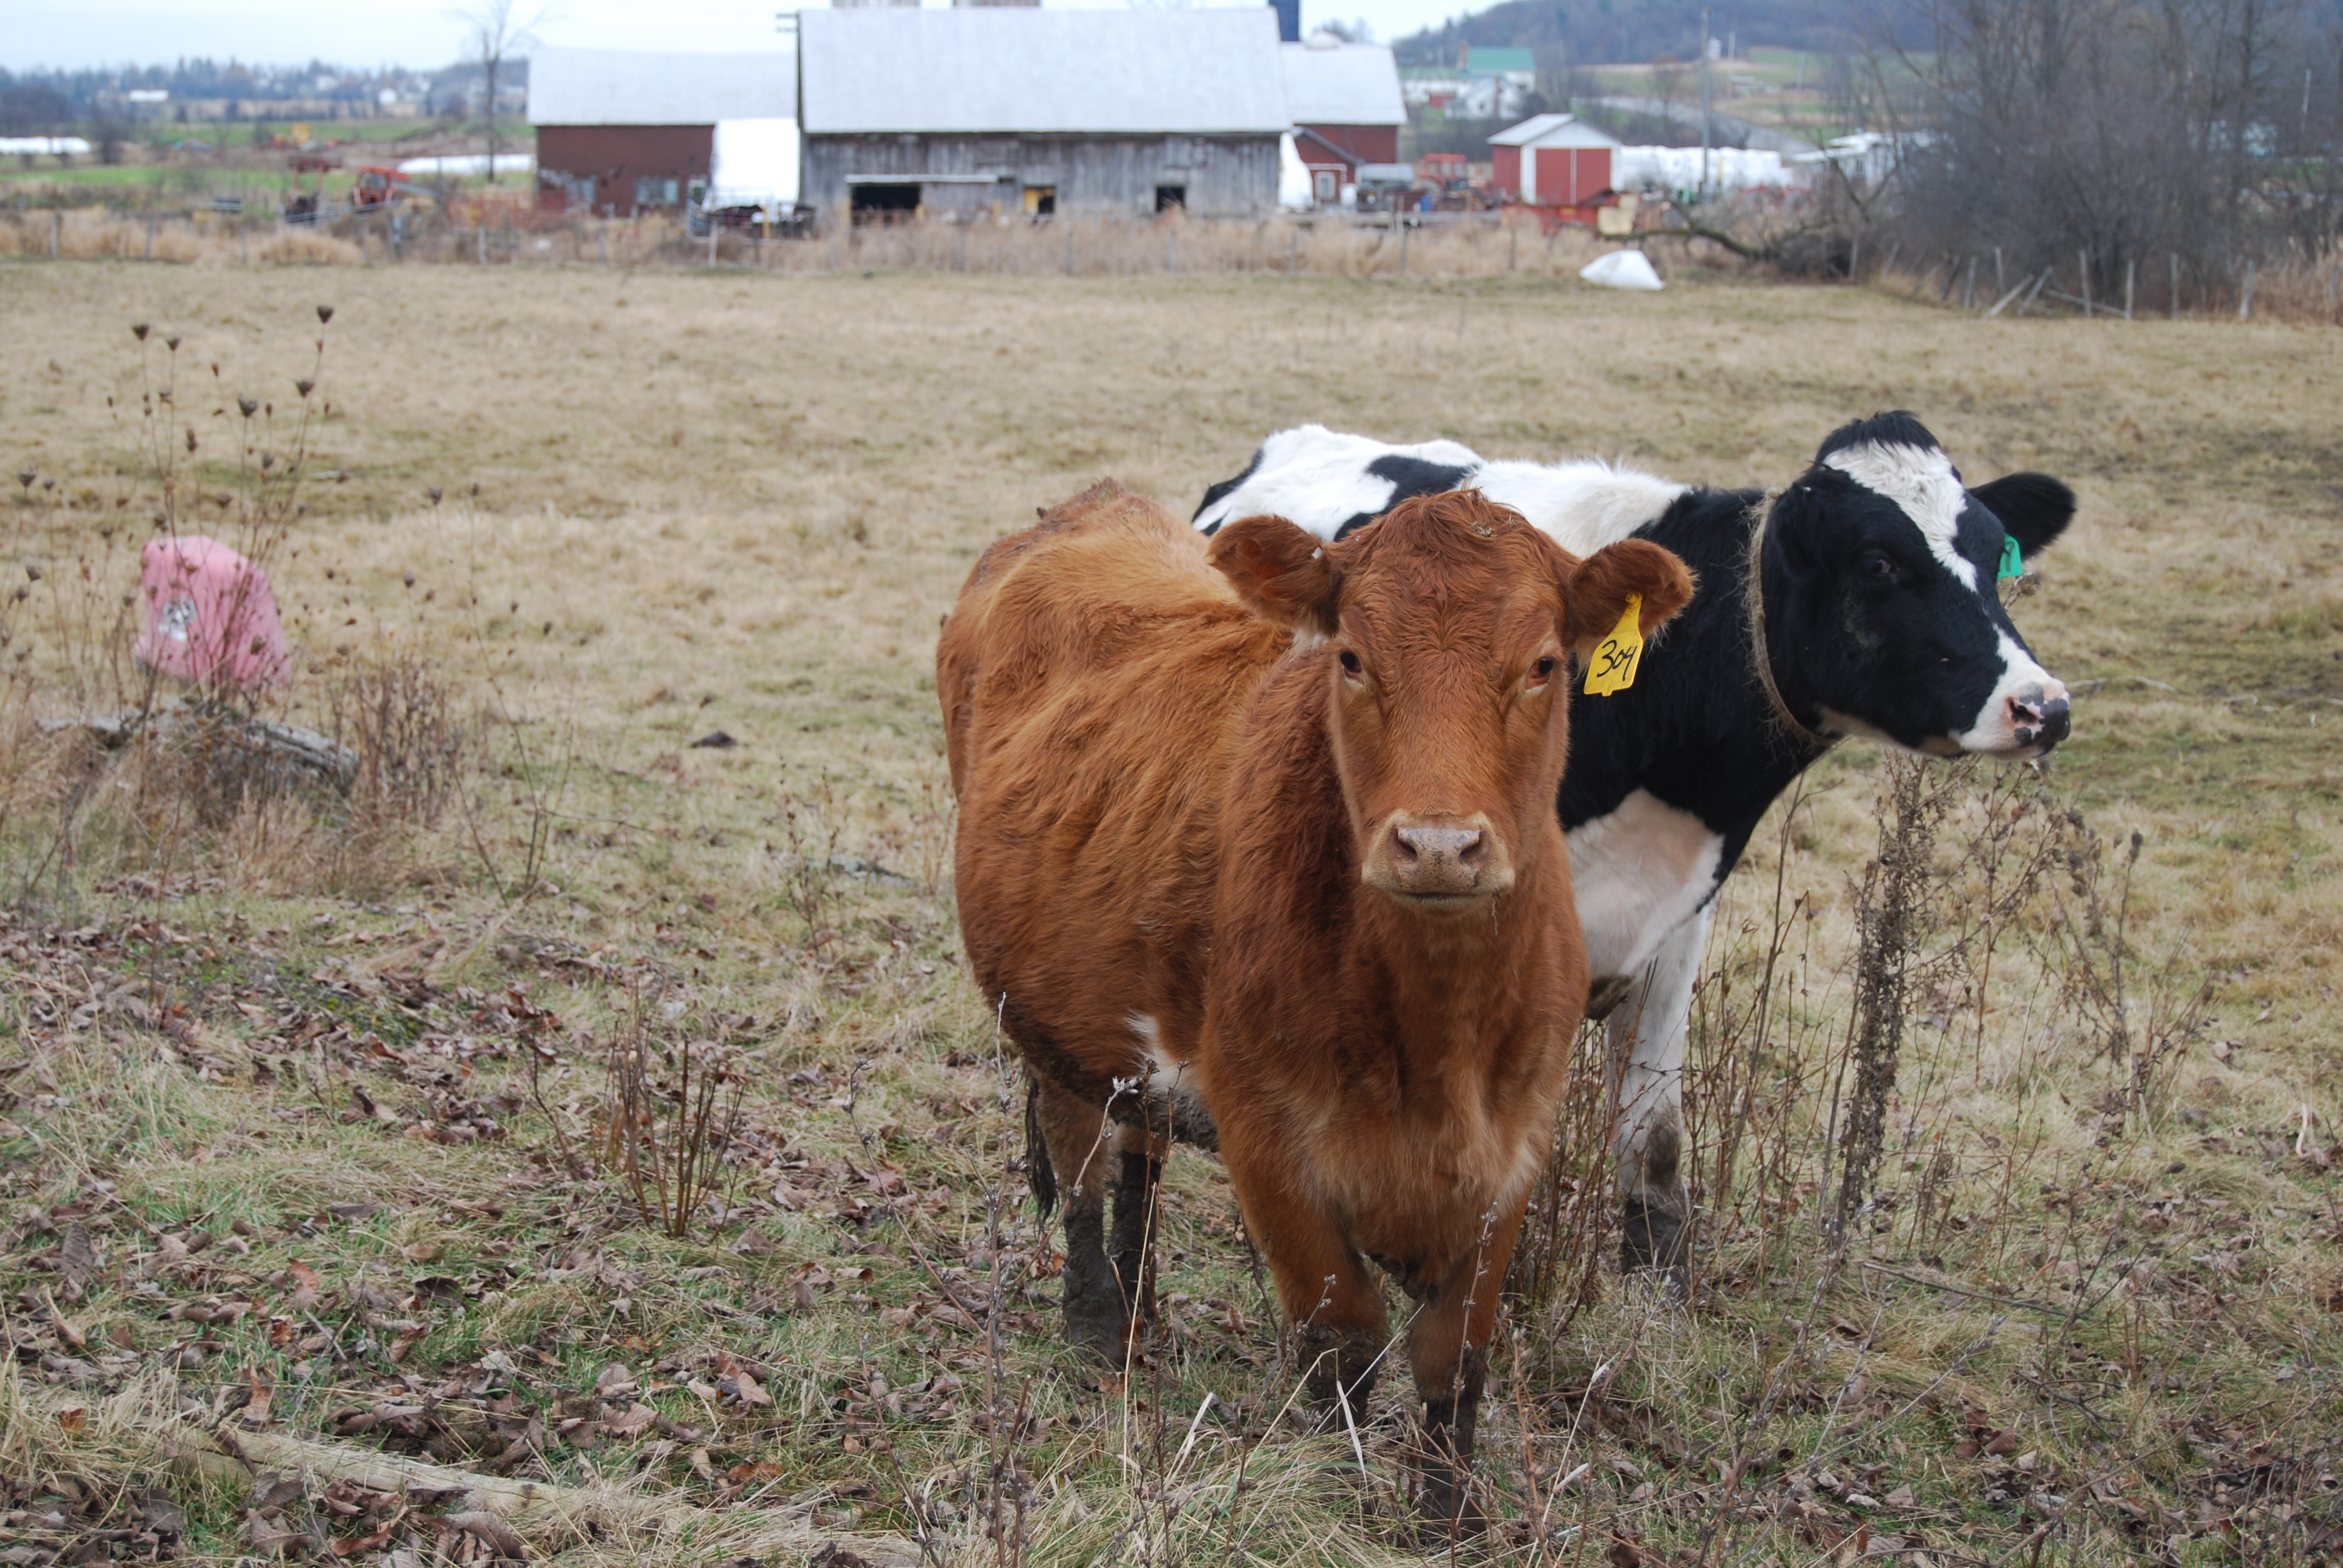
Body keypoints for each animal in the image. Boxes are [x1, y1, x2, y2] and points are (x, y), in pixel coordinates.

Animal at [942, 480, 1696, 1528]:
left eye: (1544, 664)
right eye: (1352, 658)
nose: (1437, 846)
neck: (1434, 1041)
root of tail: (1095, 505)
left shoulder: (1515, 1151)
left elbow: (1455, 1355)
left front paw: (1447, 1519)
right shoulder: (1269, 1147)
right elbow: (1344, 1343)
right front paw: (1335, 1494)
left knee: (1139, 1153)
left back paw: (1140, 1310)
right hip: (1048, 1016)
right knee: (1080, 1149)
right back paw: (1099, 1328)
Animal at [1190, 412, 2071, 1275]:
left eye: (1993, 554)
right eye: (1880, 562)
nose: (2042, 706)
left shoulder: (1677, 922)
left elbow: (1655, 1135)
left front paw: (1658, 1279)